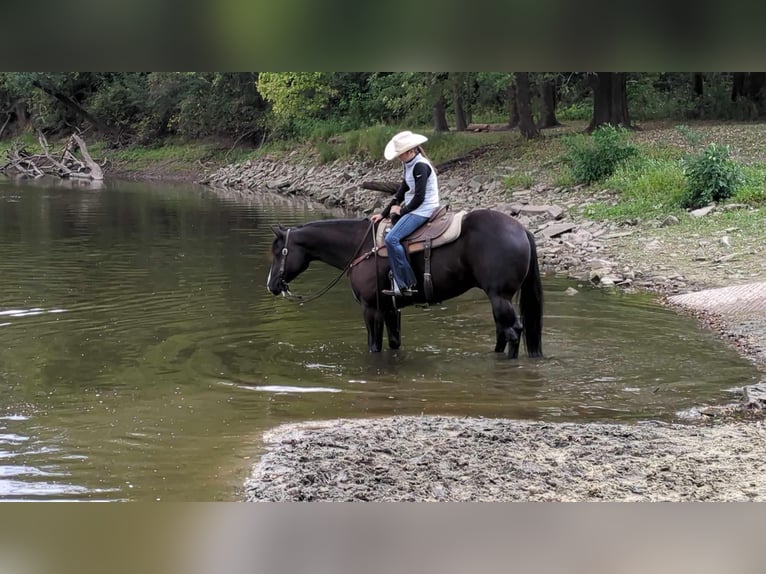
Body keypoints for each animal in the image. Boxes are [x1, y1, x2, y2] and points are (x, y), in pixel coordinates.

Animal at [266, 208, 543, 359]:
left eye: (279, 252)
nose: (271, 285)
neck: (361, 247)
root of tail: (521, 229)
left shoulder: (372, 308)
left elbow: (374, 346)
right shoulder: (391, 309)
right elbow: (394, 343)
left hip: (500, 296)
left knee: (513, 331)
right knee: (503, 332)